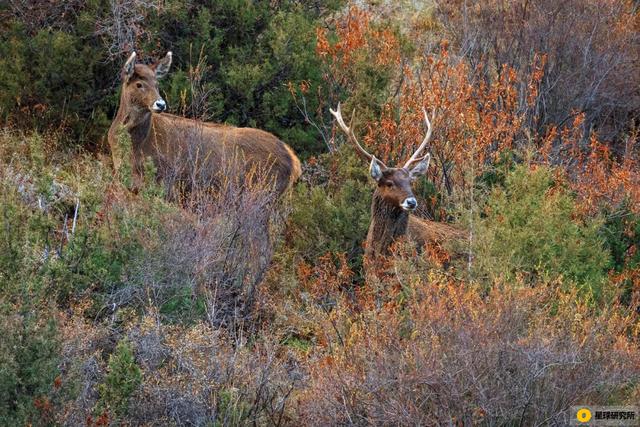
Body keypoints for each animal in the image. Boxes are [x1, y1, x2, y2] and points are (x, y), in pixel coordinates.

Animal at [109, 51, 302, 196]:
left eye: (157, 83)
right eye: (139, 84)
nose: (160, 104)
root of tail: (294, 161)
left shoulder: (166, 181)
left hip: (264, 190)